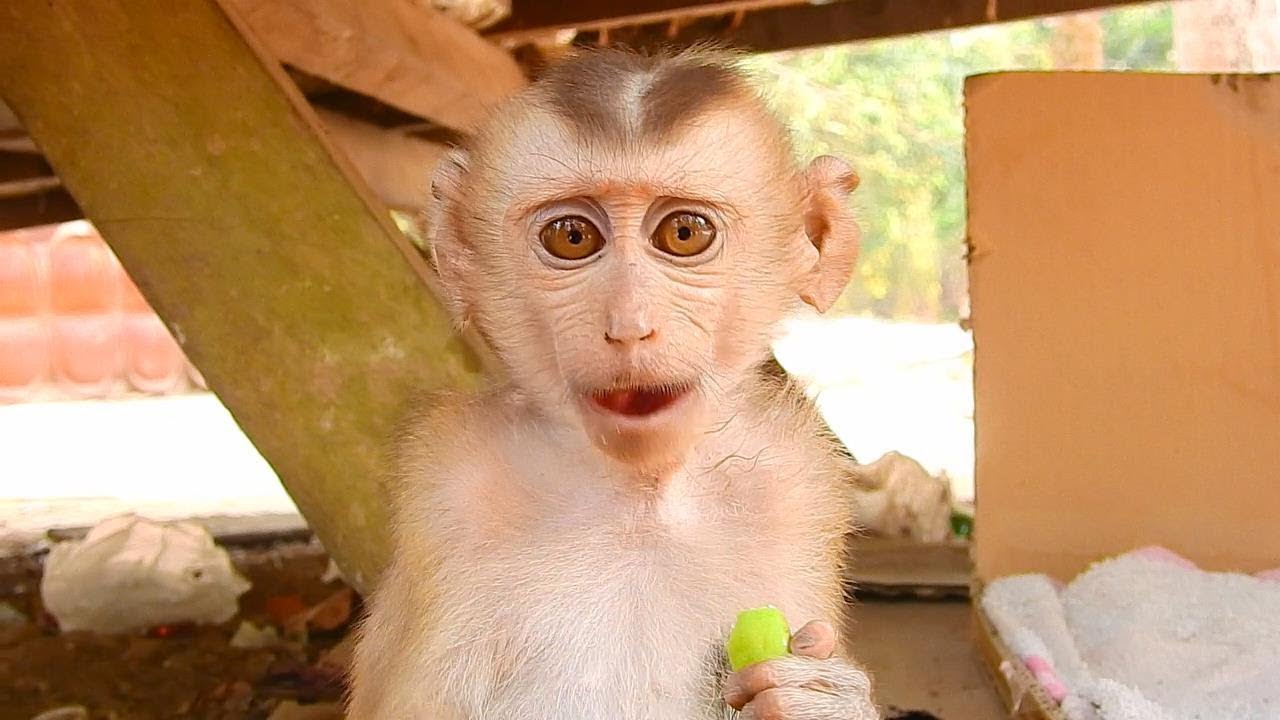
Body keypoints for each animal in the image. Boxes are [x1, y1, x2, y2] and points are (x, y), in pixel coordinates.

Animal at [348, 46, 879, 720]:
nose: (628, 326)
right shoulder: (450, 491)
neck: (637, 499)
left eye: (684, 233)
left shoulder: (792, 485)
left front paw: (815, 697)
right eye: (572, 237)